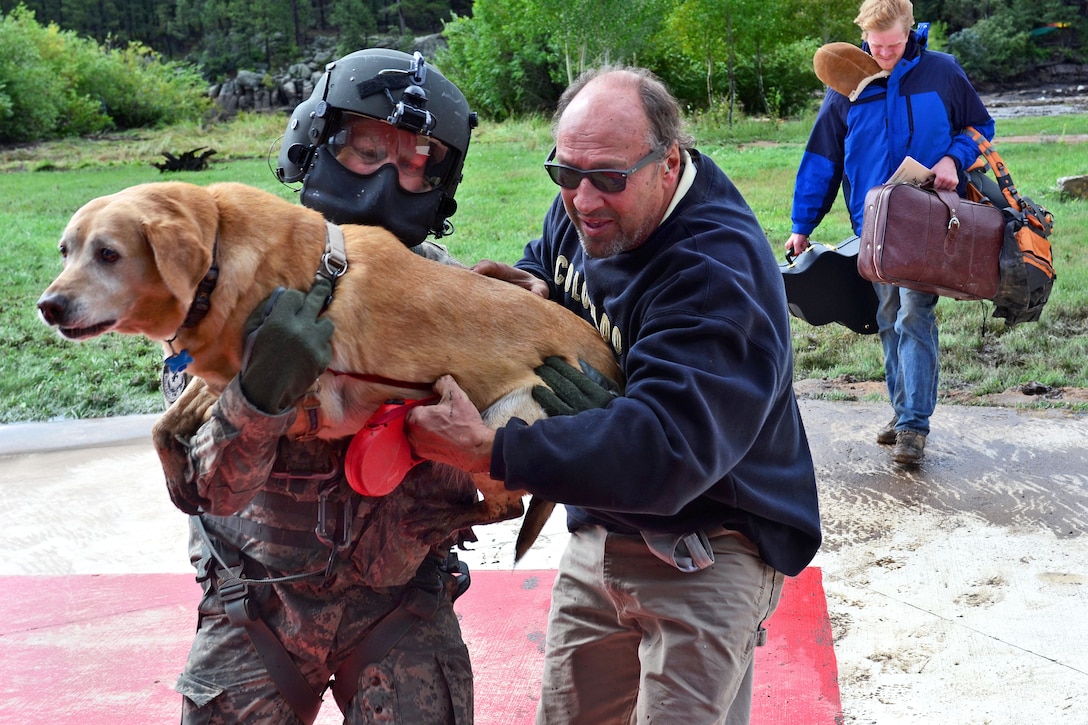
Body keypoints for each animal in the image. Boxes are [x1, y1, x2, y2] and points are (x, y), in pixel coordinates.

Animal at [38, 181, 622, 557]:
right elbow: (167, 423)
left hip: (499, 422)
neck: (219, 261)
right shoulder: (234, 380)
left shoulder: (309, 404)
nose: (49, 307)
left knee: (505, 507)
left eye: (108, 253)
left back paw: (443, 518)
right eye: (66, 250)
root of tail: (613, 370)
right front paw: (177, 476)